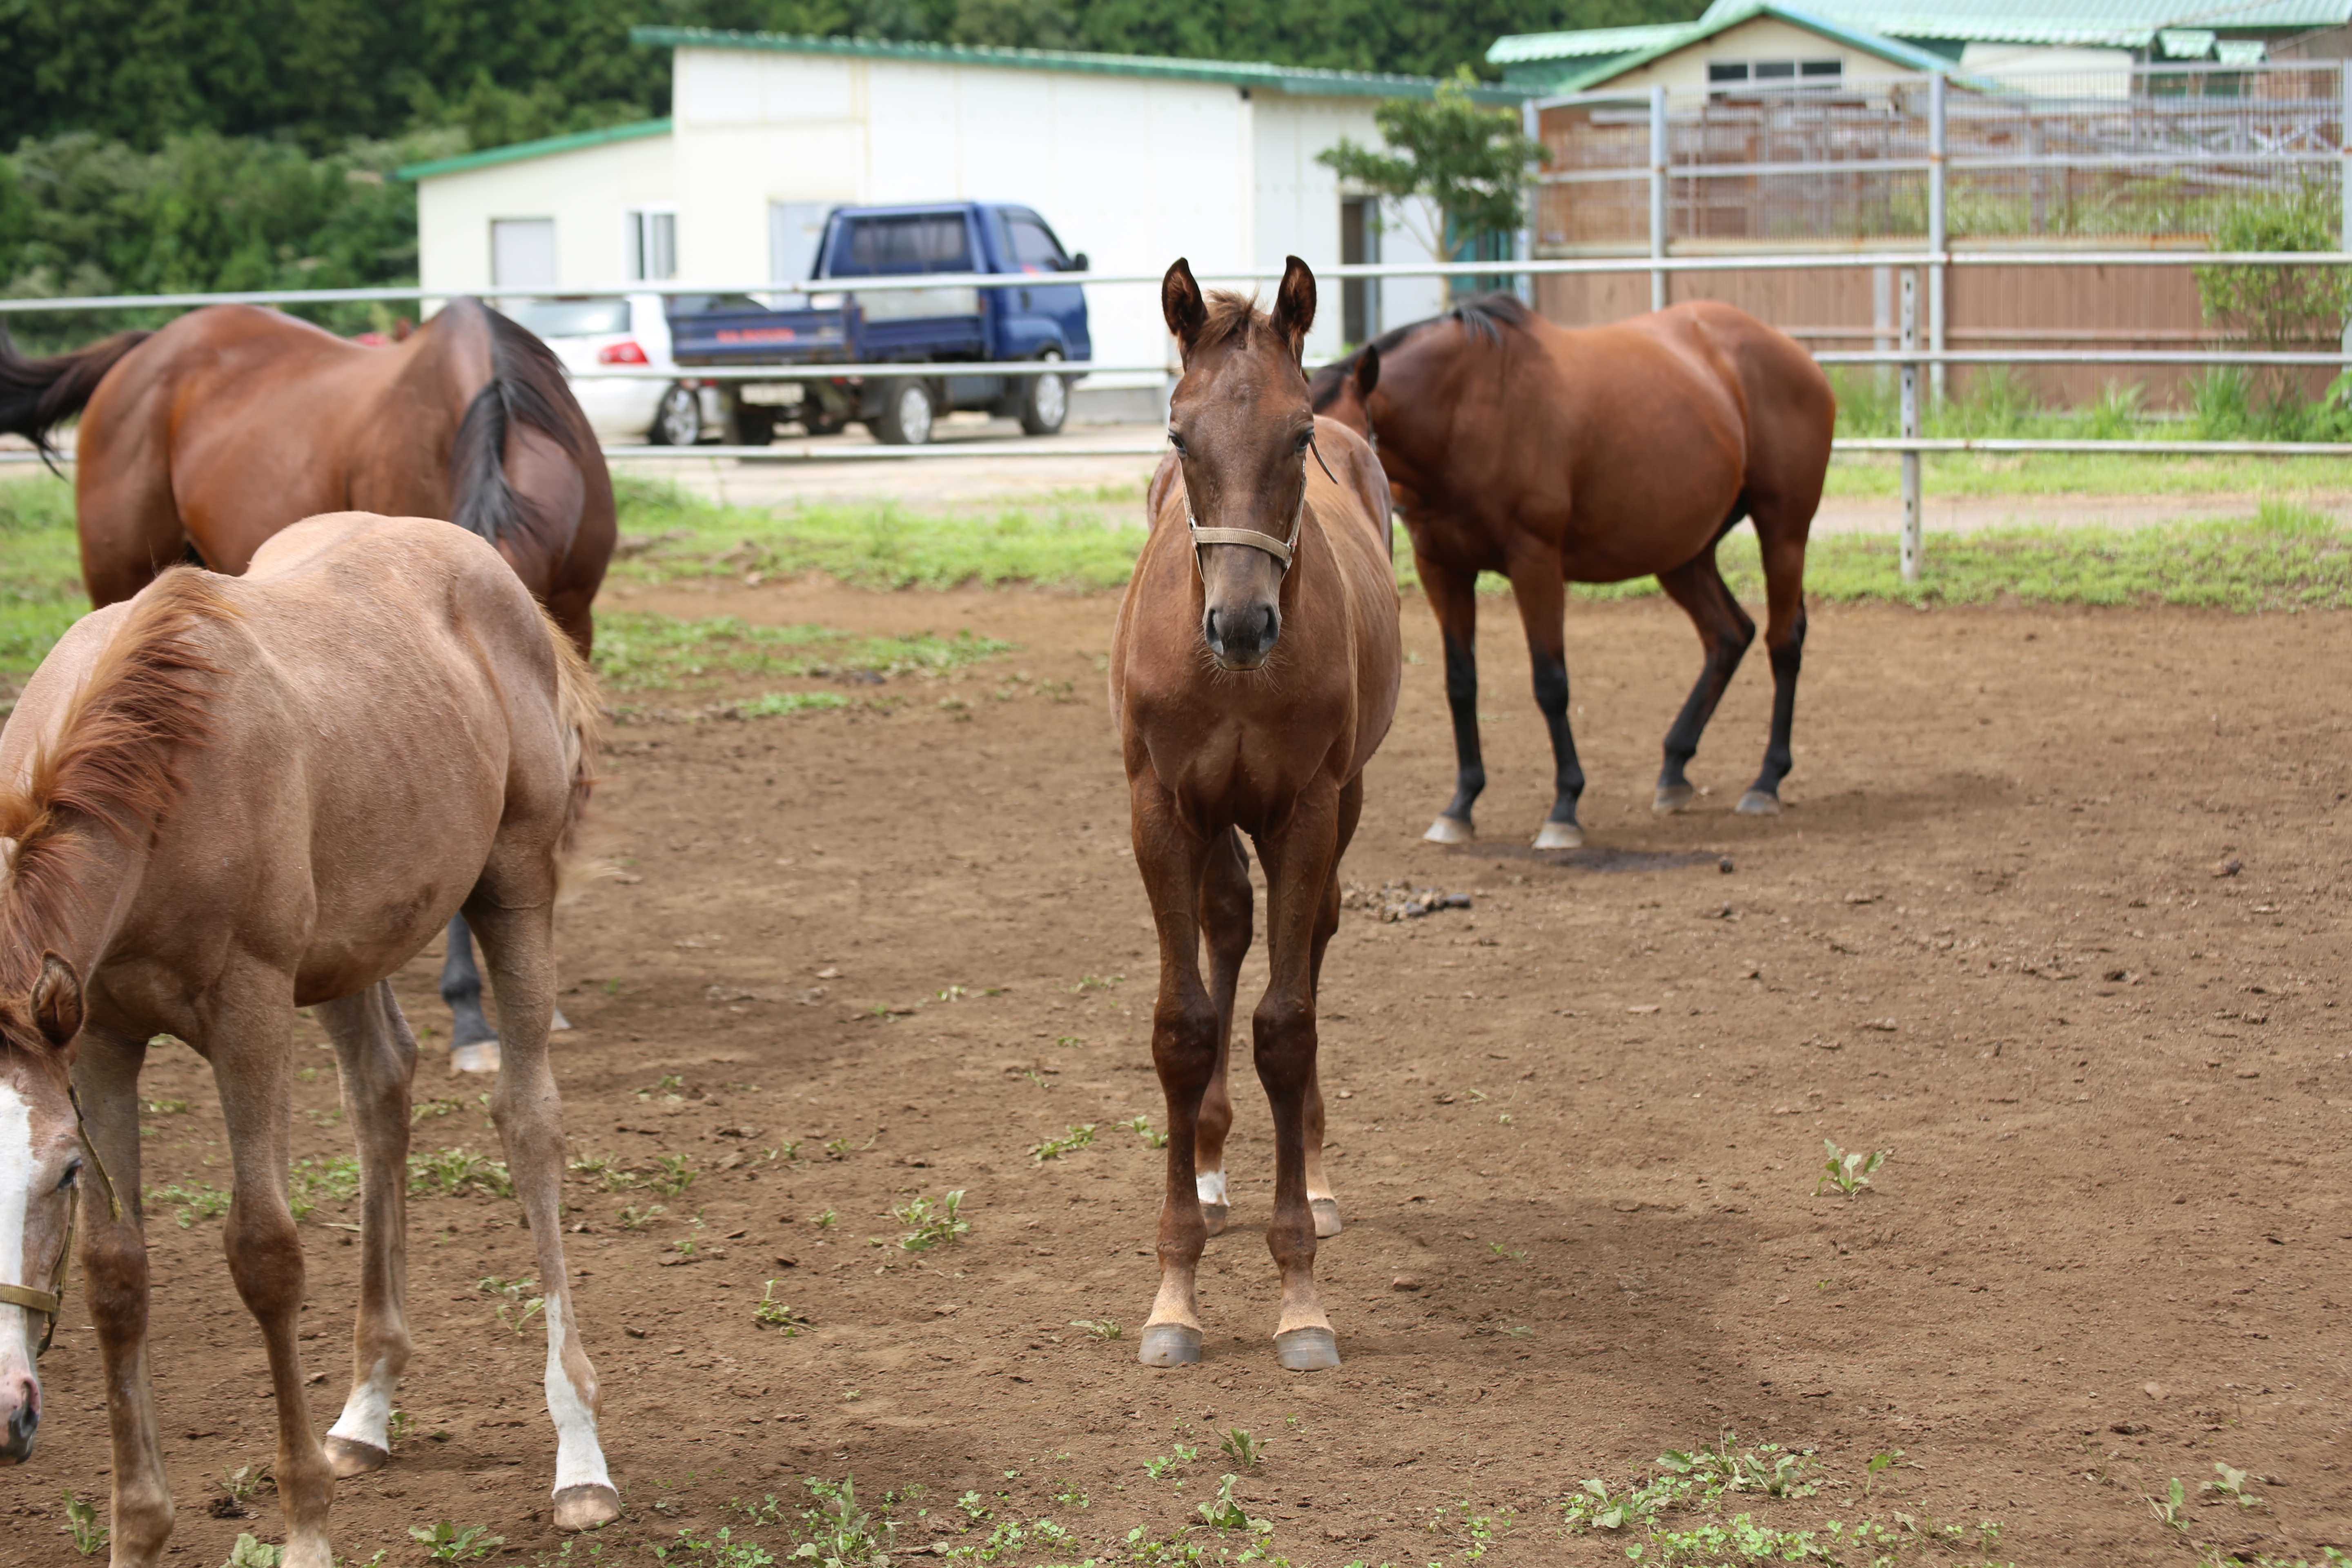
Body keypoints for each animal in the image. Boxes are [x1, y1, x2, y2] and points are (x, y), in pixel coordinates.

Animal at [0, 517, 616, 1568]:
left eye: (59, 1174)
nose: (7, 1414)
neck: (154, 771)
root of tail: (481, 560)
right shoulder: (100, 1036)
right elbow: (116, 1277)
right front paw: (138, 1532)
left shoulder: (248, 1010)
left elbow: (264, 1253)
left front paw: (305, 1532)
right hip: (349, 948)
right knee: (381, 1088)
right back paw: (366, 1411)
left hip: (513, 884)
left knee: (529, 1120)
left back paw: (579, 1457)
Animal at [1100, 257, 1392, 1373]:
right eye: (1179, 435)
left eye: (1298, 435)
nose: (1238, 624)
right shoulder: (1160, 810)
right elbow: (1183, 1026)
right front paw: (1174, 1295)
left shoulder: (1304, 809)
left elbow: (1285, 1023)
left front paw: (1300, 1297)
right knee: (1227, 924)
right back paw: (1215, 1164)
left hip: (1342, 798)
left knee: (1305, 938)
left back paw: (1306, 1166)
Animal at [1307, 301, 1834, 851]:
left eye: (1341, 442)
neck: (1468, 412)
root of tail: (1795, 353)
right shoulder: (1443, 569)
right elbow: (1461, 685)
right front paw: (1461, 805)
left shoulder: (1535, 561)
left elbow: (1550, 682)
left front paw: (1564, 808)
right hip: (1684, 554)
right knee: (1730, 635)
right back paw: (1674, 767)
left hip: (1783, 533)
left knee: (1782, 642)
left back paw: (1766, 781)